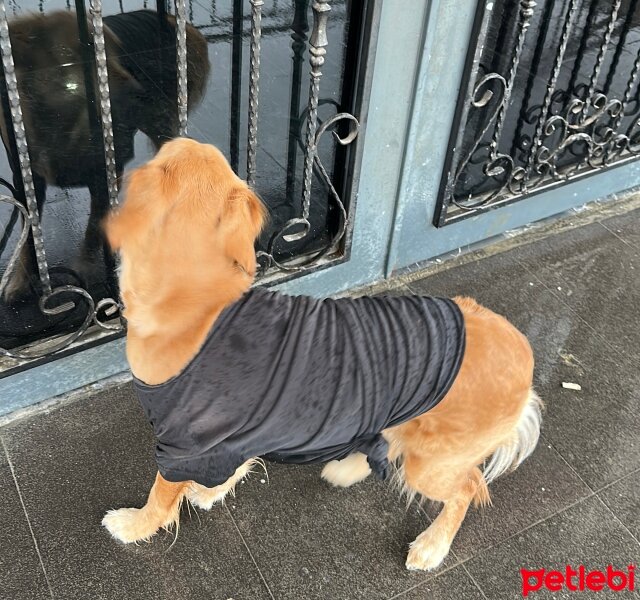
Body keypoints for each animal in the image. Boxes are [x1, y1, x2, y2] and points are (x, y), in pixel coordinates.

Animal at [102, 138, 544, 568]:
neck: (196, 295)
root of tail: (521, 350)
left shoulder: (181, 443)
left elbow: (161, 496)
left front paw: (134, 525)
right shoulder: (234, 433)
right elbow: (231, 465)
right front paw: (213, 491)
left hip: (433, 465)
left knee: (469, 486)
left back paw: (432, 546)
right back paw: (347, 470)